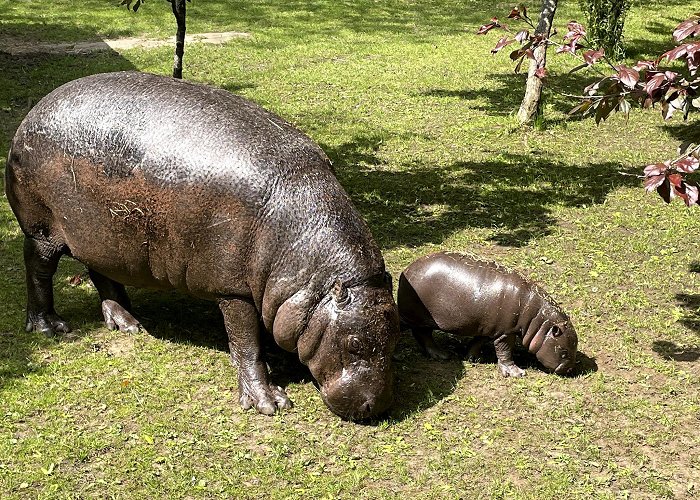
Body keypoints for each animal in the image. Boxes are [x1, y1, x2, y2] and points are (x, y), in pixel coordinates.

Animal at [6, 72, 400, 420]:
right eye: (353, 344)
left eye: (396, 334)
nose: (377, 408)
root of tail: (34, 109)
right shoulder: (234, 289)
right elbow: (246, 342)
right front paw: (269, 402)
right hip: (42, 231)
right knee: (38, 270)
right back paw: (50, 327)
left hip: (102, 236)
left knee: (101, 272)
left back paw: (129, 324)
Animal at [396, 252, 576, 376]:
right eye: (564, 352)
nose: (570, 370)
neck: (538, 319)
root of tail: (406, 270)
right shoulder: (506, 332)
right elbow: (504, 351)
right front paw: (516, 373)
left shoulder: (488, 327)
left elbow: (478, 341)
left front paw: (473, 358)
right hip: (416, 316)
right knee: (419, 333)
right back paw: (442, 355)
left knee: (422, 334)